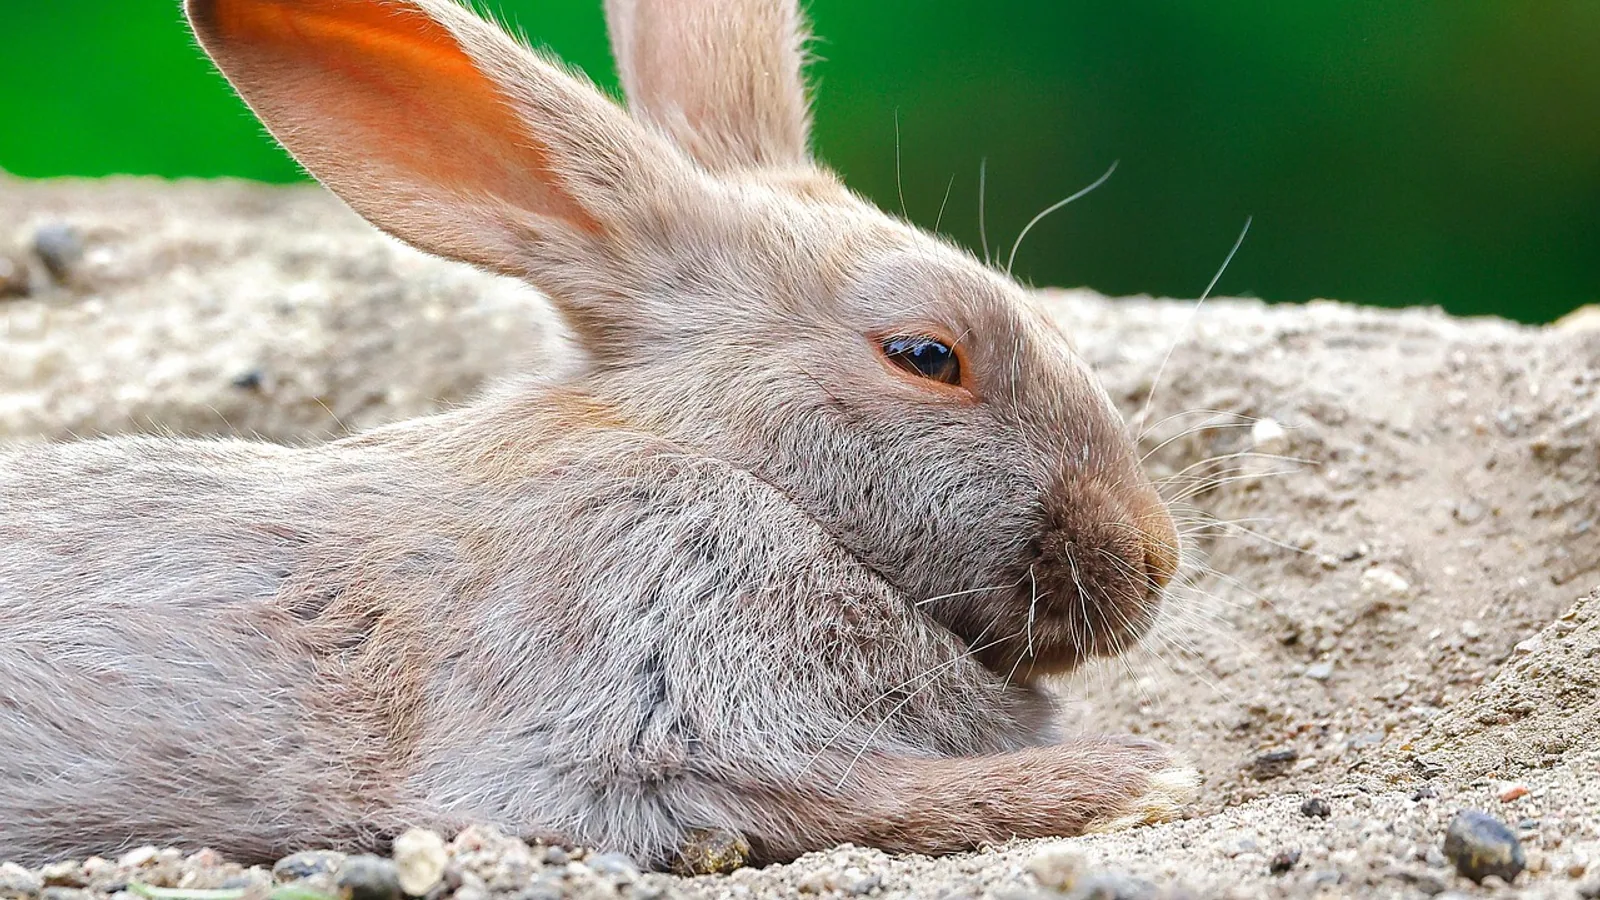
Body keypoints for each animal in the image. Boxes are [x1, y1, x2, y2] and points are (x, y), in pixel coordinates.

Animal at [0, 0, 1197, 871]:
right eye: (925, 354)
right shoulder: (636, 722)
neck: (742, 473)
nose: (1154, 559)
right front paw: (1143, 776)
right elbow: (863, 797)